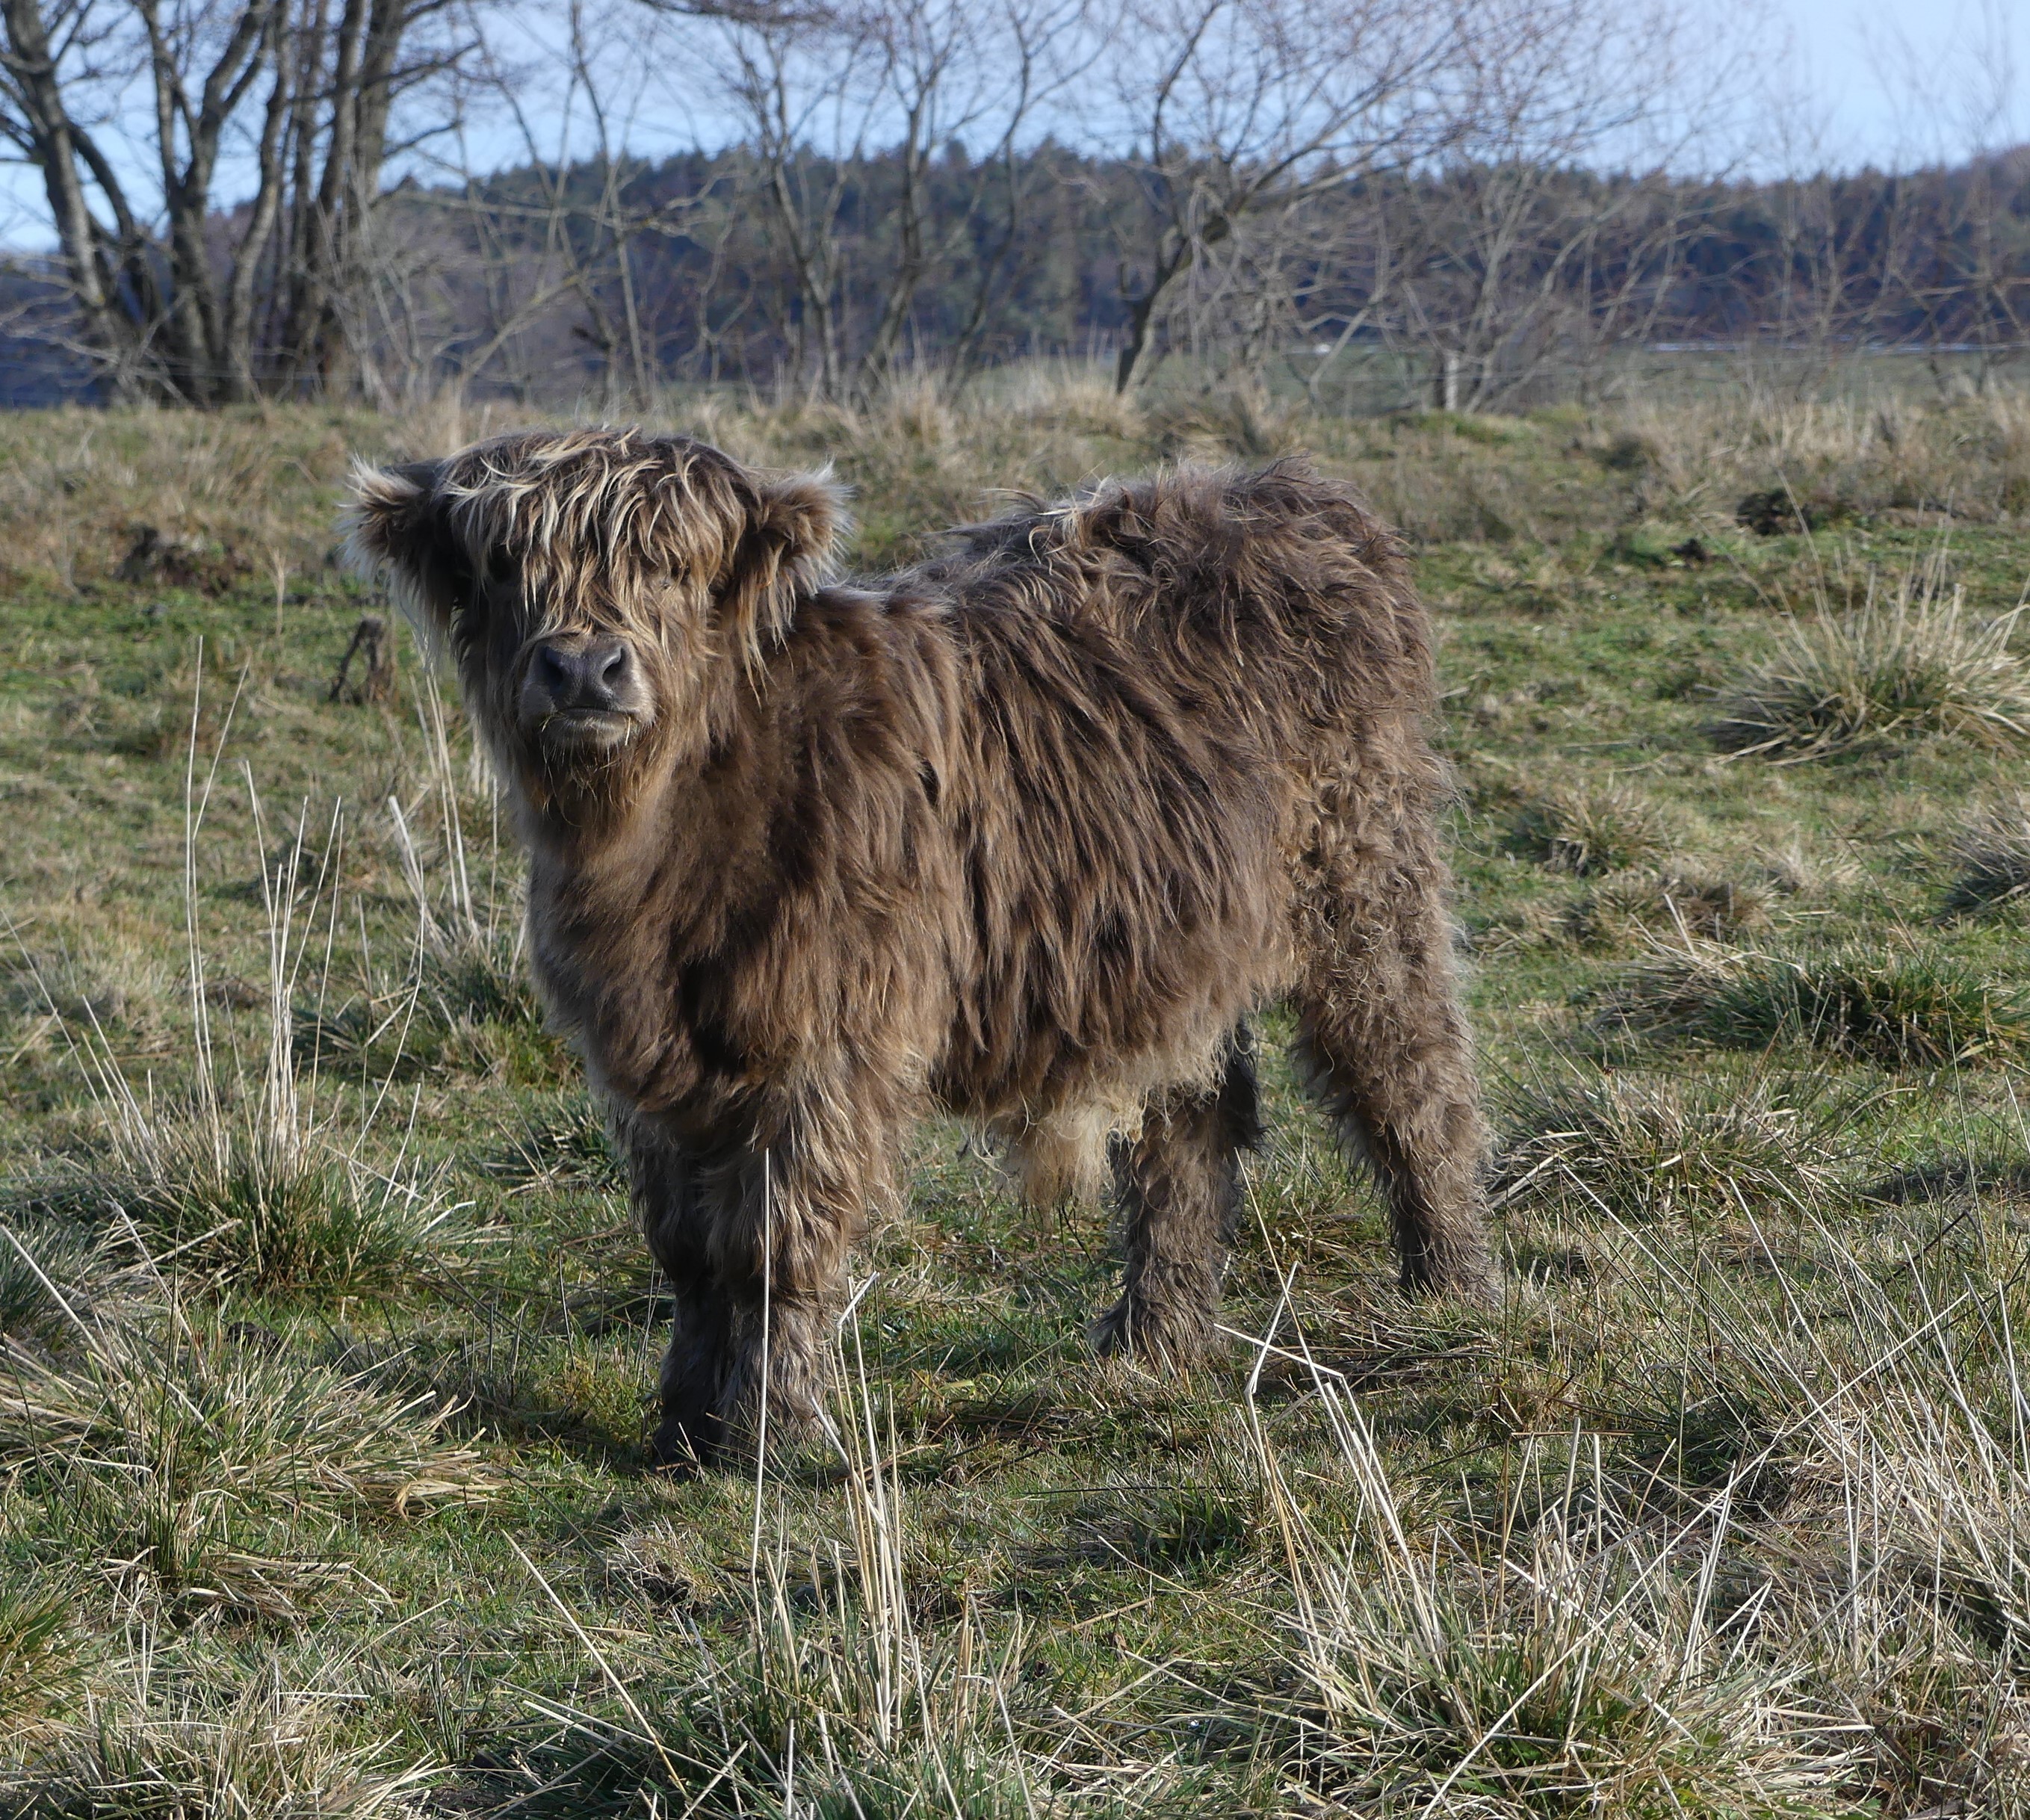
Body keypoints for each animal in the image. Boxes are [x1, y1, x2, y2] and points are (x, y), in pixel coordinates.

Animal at [344, 426, 1494, 1461]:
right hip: (1168, 949)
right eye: (501, 564)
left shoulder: (824, 1048)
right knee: (1191, 1127)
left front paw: (771, 1434)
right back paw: (1151, 1345)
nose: (585, 669)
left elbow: (777, 1243)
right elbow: (687, 1249)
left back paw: (1453, 1293)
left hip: (1364, 890)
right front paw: (681, 1425)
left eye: (672, 564)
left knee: (1412, 1081)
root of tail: (1279, 491)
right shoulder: (648, 1062)